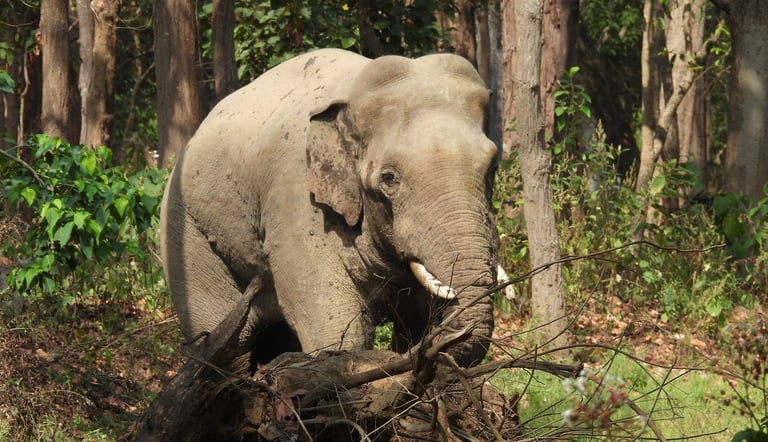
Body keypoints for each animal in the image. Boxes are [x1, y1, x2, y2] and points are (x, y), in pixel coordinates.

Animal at [160, 48, 510, 369]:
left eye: (492, 166)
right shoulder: (296, 198)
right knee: (228, 336)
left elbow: (415, 319)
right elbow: (334, 320)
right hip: (185, 232)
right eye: (389, 178)